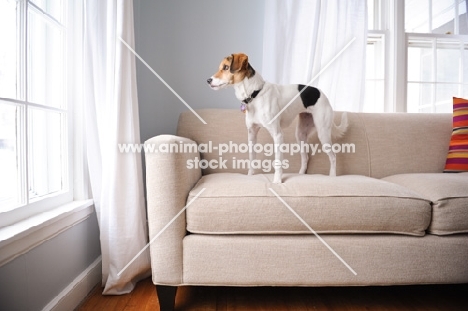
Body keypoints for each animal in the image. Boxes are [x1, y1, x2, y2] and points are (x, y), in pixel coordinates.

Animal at [206, 52, 348, 184]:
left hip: (323, 133)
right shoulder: (252, 134)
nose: (208, 80)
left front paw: (277, 181)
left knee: (333, 156)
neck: (255, 95)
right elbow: (252, 158)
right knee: (305, 157)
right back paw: (301, 174)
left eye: (226, 67)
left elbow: (278, 161)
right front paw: (250, 176)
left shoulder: (278, 135)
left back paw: (332, 176)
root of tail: (323, 95)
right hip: (301, 135)